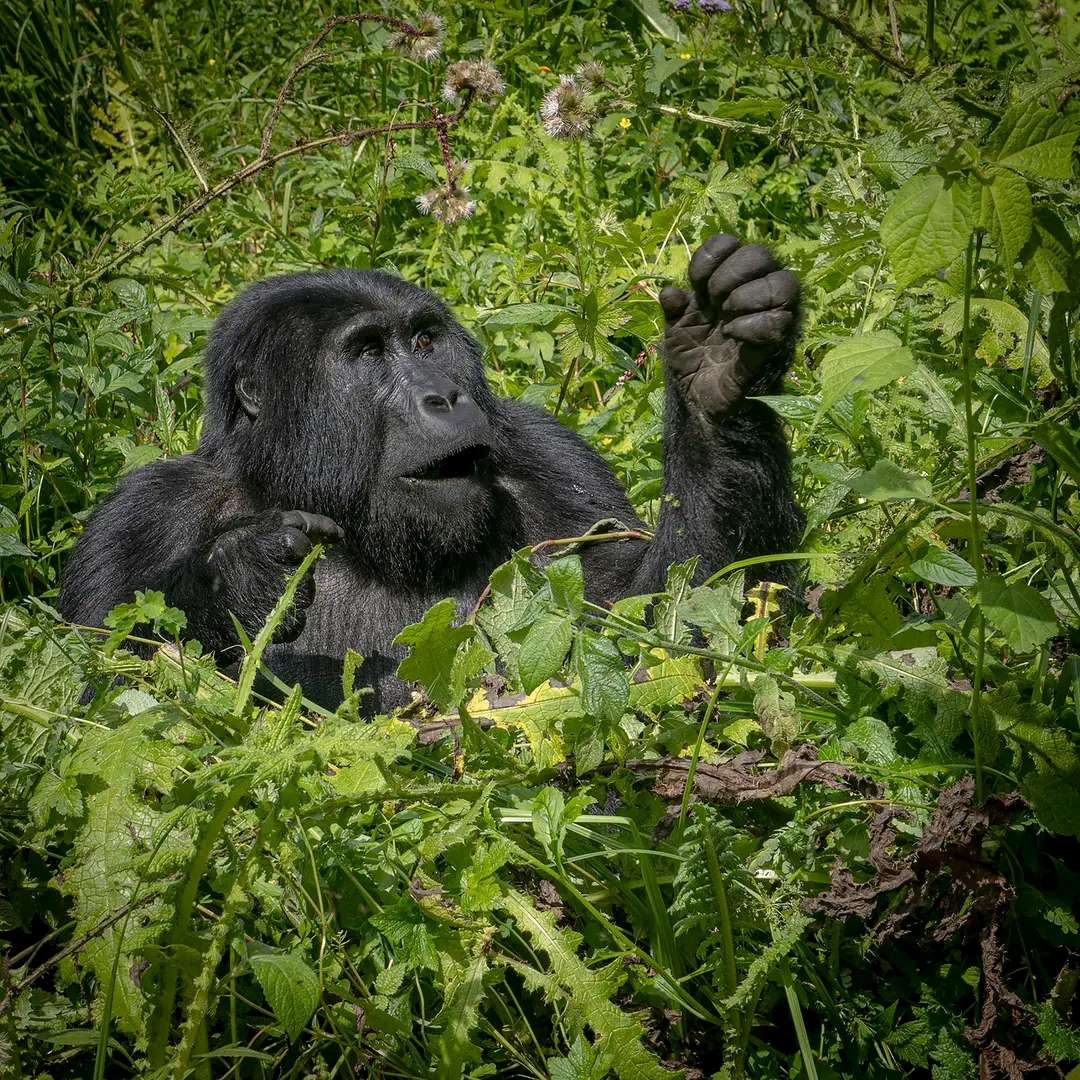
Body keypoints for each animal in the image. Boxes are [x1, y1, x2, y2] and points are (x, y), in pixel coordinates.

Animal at [59, 232, 803, 712]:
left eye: (423, 340)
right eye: (366, 354)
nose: (442, 396)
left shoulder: (551, 457)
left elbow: (655, 643)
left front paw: (716, 373)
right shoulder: (140, 517)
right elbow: (102, 709)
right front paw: (235, 579)